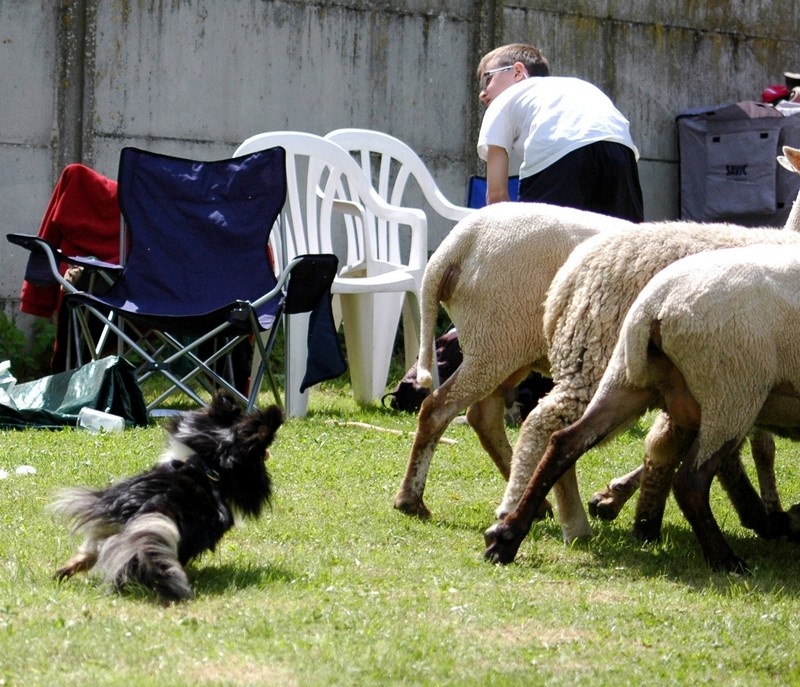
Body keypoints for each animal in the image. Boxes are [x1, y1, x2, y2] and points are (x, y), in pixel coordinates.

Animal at [392, 202, 624, 520]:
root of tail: (456, 246)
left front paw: (611, 497)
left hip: (507, 349)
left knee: (483, 417)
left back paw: (536, 503)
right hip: (497, 341)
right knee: (437, 409)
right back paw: (410, 500)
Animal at [484, 245, 800, 572]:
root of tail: (655, 306)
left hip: (626, 378)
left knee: (564, 441)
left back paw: (506, 537)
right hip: (732, 392)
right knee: (690, 481)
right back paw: (725, 559)